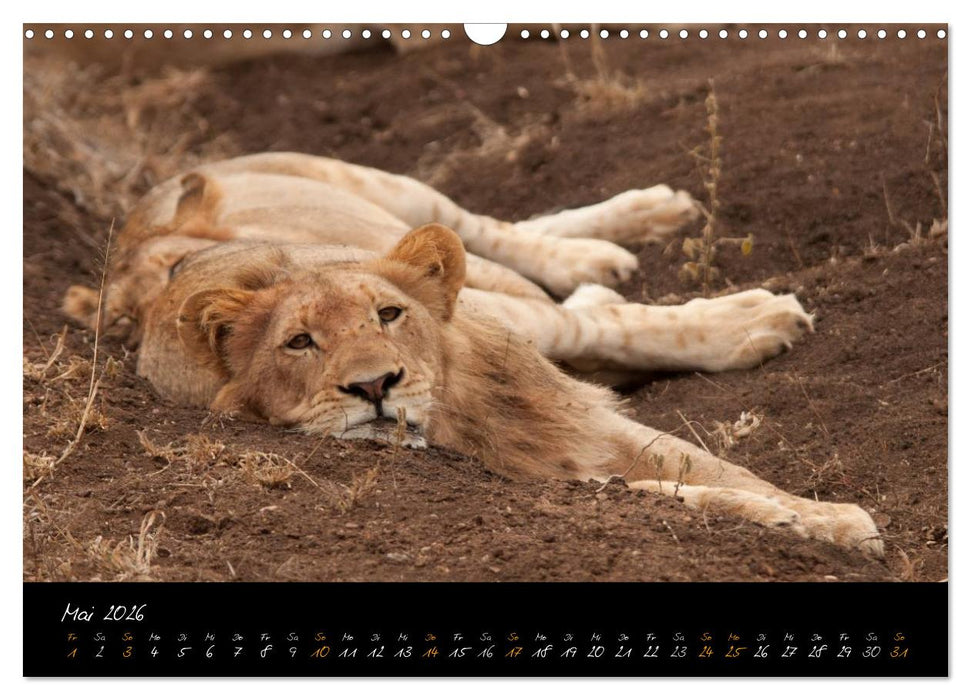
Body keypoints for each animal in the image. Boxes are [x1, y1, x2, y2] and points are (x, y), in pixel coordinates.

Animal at [64, 152, 883, 557]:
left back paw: (641, 227)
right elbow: (672, 482)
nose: (374, 387)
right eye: (299, 344)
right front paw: (808, 525)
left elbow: (623, 354)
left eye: (387, 316)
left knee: (495, 236)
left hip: (395, 192)